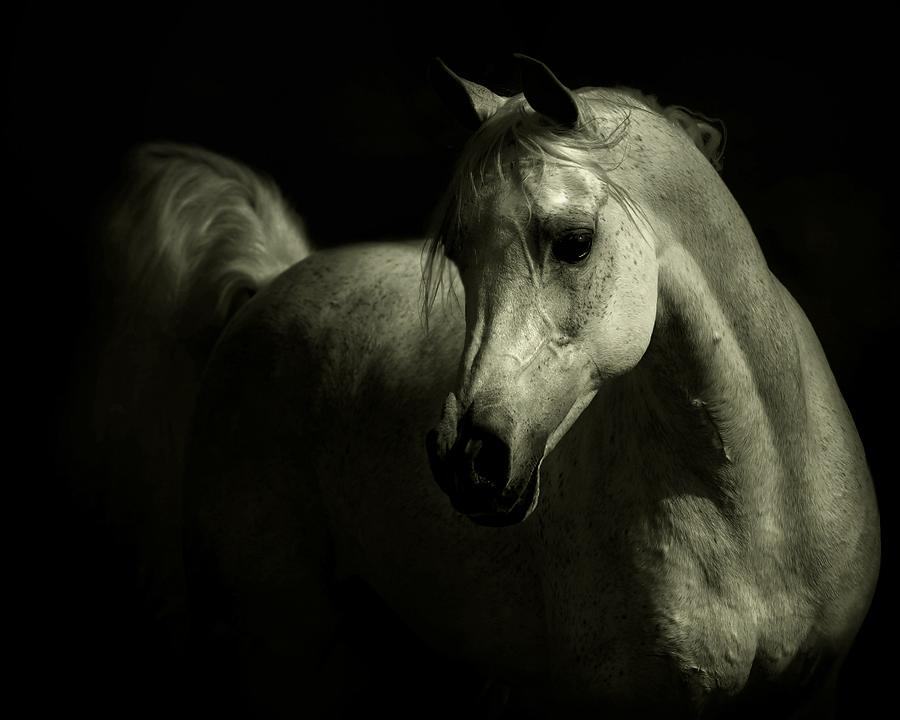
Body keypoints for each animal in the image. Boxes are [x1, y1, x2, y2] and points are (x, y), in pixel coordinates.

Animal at [94, 56, 879, 717]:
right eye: (458, 252)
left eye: (574, 242)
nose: (464, 459)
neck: (754, 505)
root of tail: (268, 288)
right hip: (279, 645)